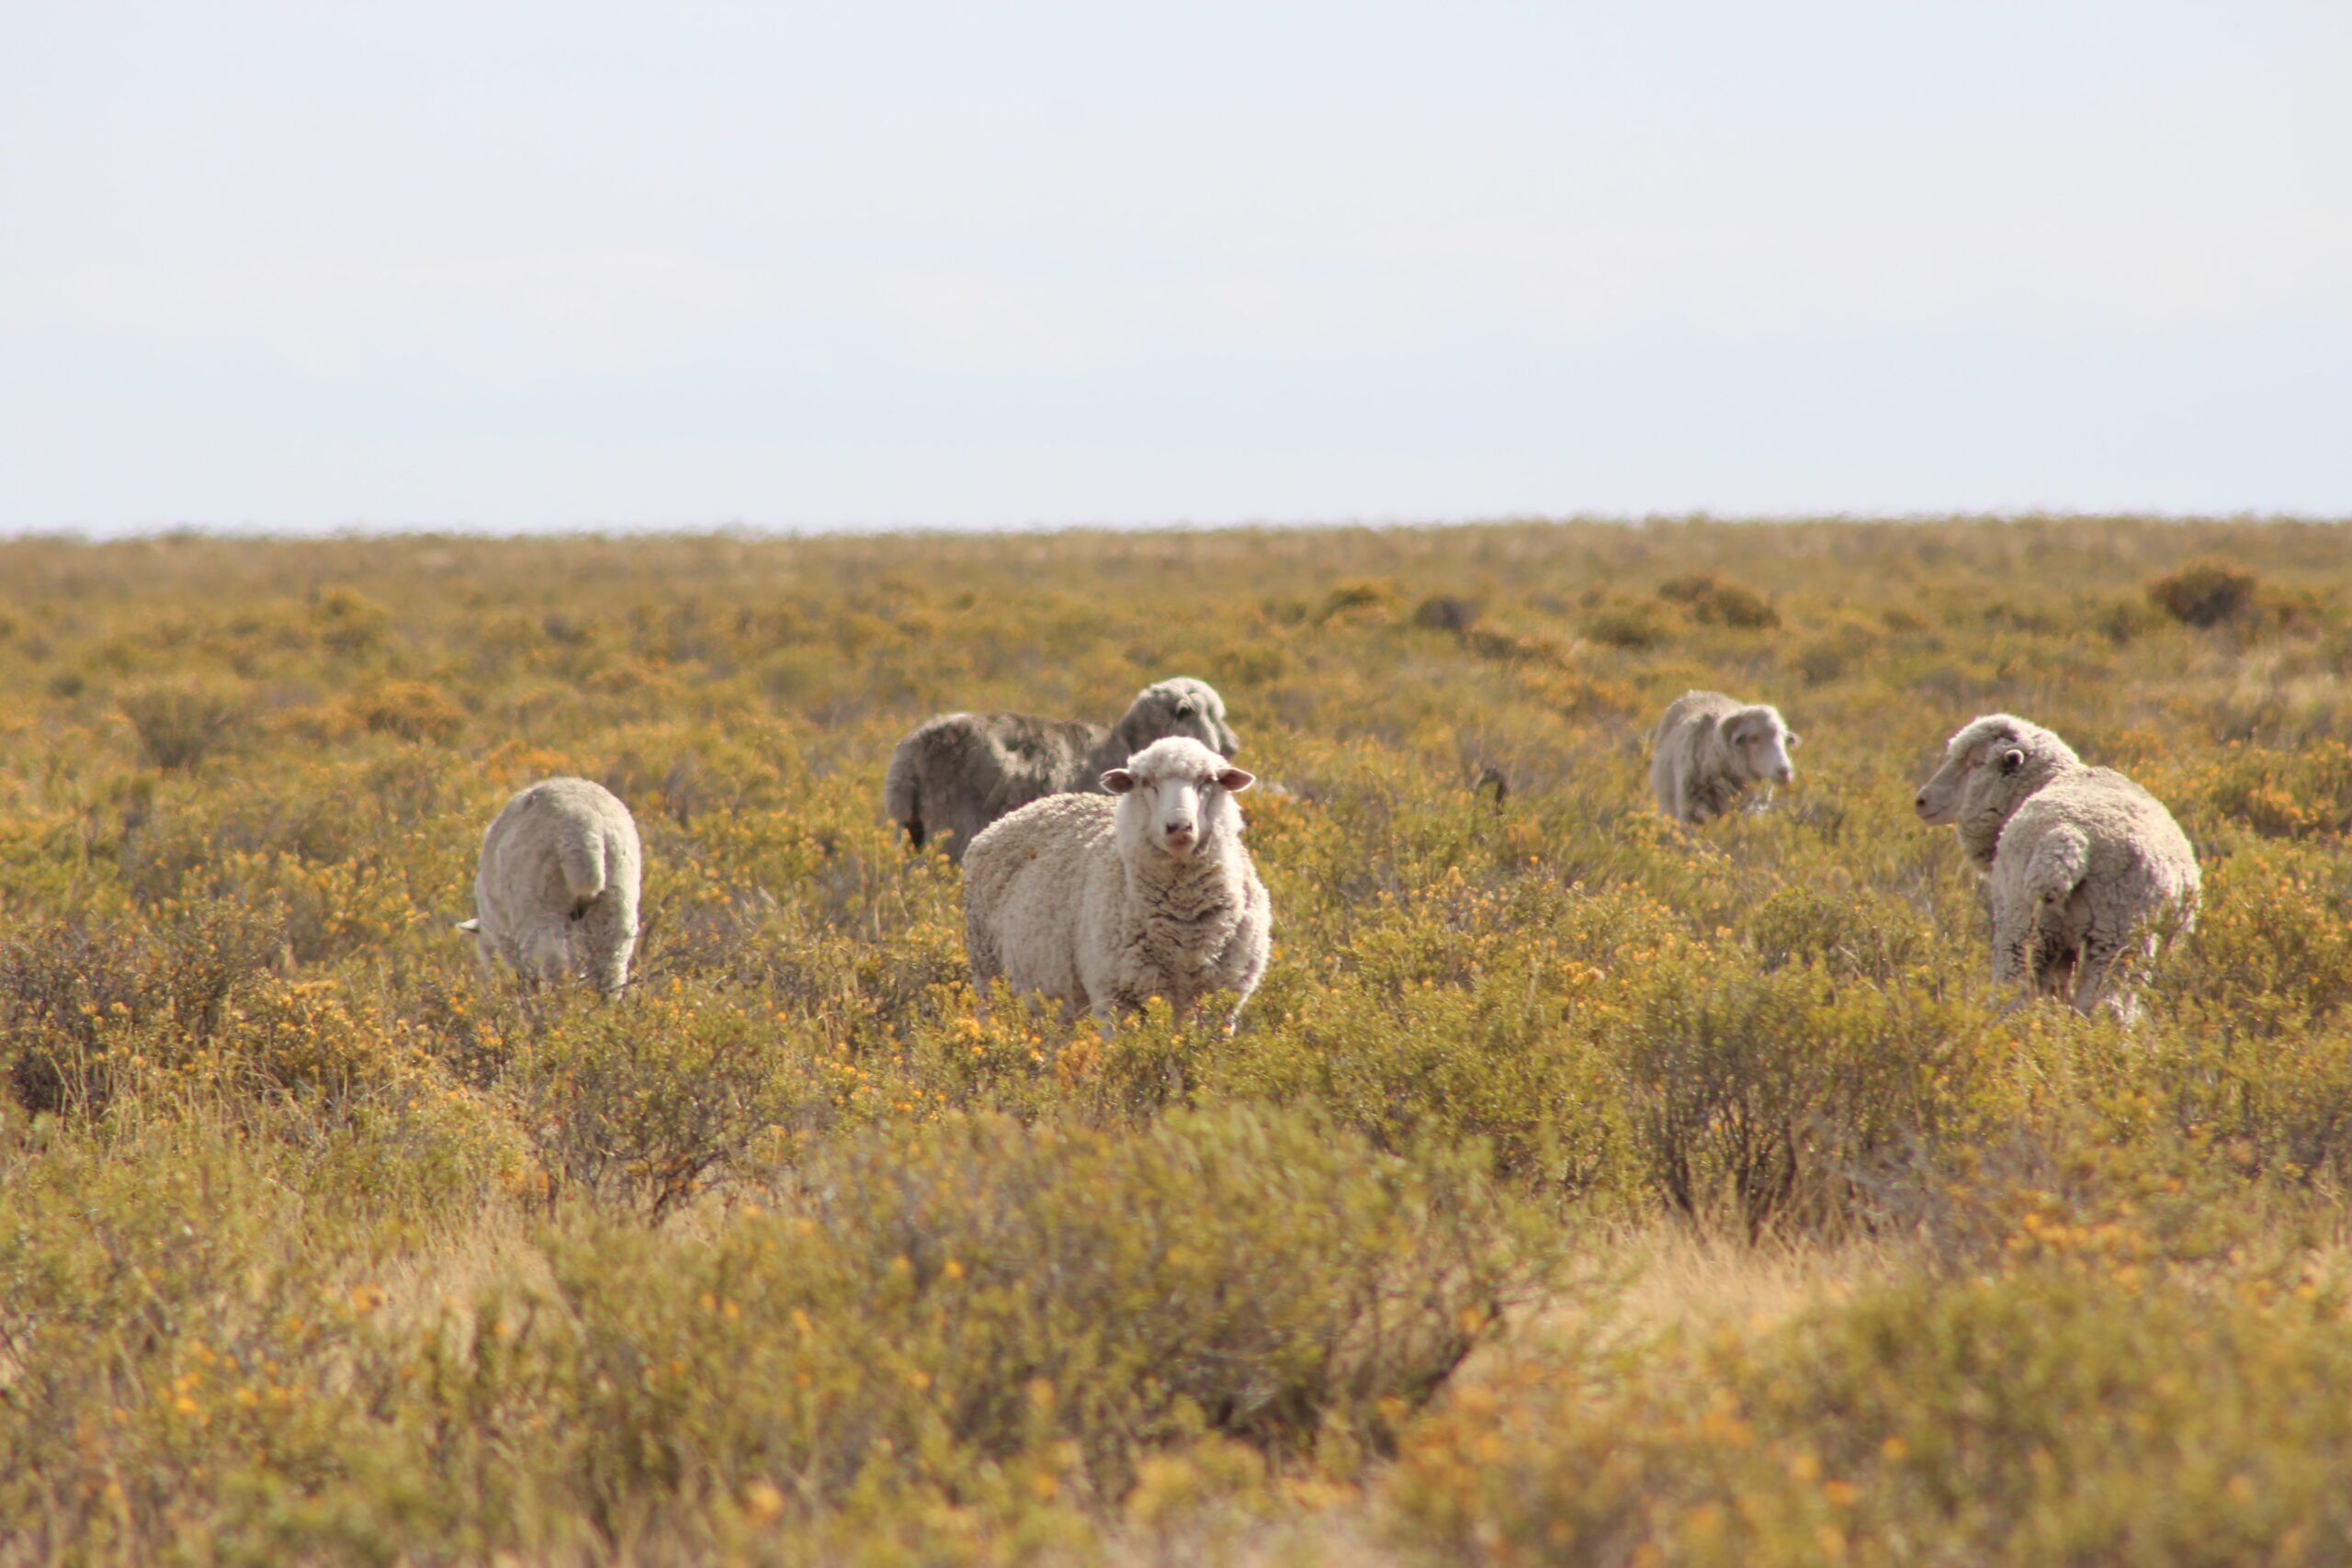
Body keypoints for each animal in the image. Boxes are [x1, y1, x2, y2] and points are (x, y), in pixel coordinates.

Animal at [456, 780, 644, 1001]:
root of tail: (586, 826)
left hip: (538, 899)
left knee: (554, 964)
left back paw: (556, 1006)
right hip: (618, 890)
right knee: (612, 965)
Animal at [884, 677, 1250, 864]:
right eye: (1213, 715)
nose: (1233, 744)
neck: (1128, 742)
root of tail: (910, 754)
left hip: (911, 829)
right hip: (951, 825)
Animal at [959, 738, 1279, 1029]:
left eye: (1208, 781)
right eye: (1146, 782)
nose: (1179, 827)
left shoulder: (1222, 1003)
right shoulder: (1117, 999)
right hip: (988, 972)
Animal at [1909, 715, 2201, 1020]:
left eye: (1977, 763)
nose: (1921, 800)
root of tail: (2067, 835)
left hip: (2032, 922)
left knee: (2021, 993)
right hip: (2115, 934)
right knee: (2104, 1005)